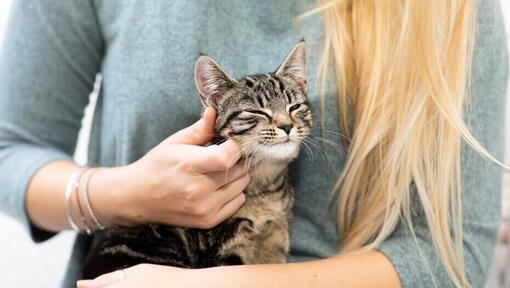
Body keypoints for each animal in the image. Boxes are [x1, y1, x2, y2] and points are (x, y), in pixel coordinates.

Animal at [80, 41, 310, 280]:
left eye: (294, 107)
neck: (264, 187)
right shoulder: (224, 249)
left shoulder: (276, 237)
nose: (287, 126)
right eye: (256, 111)